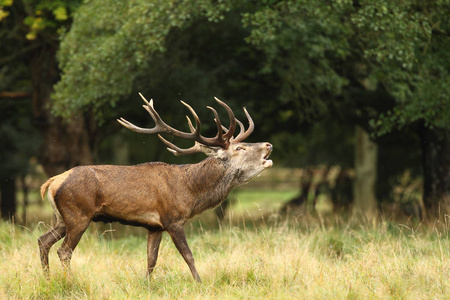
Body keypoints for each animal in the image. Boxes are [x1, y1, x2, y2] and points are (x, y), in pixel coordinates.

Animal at [38, 93, 272, 282]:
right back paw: (69, 281)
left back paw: (47, 280)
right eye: (239, 148)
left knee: (43, 241)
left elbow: (151, 260)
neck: (190, 192)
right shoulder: (172, 219)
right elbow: (188, 256)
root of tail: (51, 182)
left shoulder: (154, 226)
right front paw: (200, 283)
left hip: (62, 218)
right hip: (79, 214)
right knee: (64, 251)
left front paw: (147, 285)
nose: (268, 145)